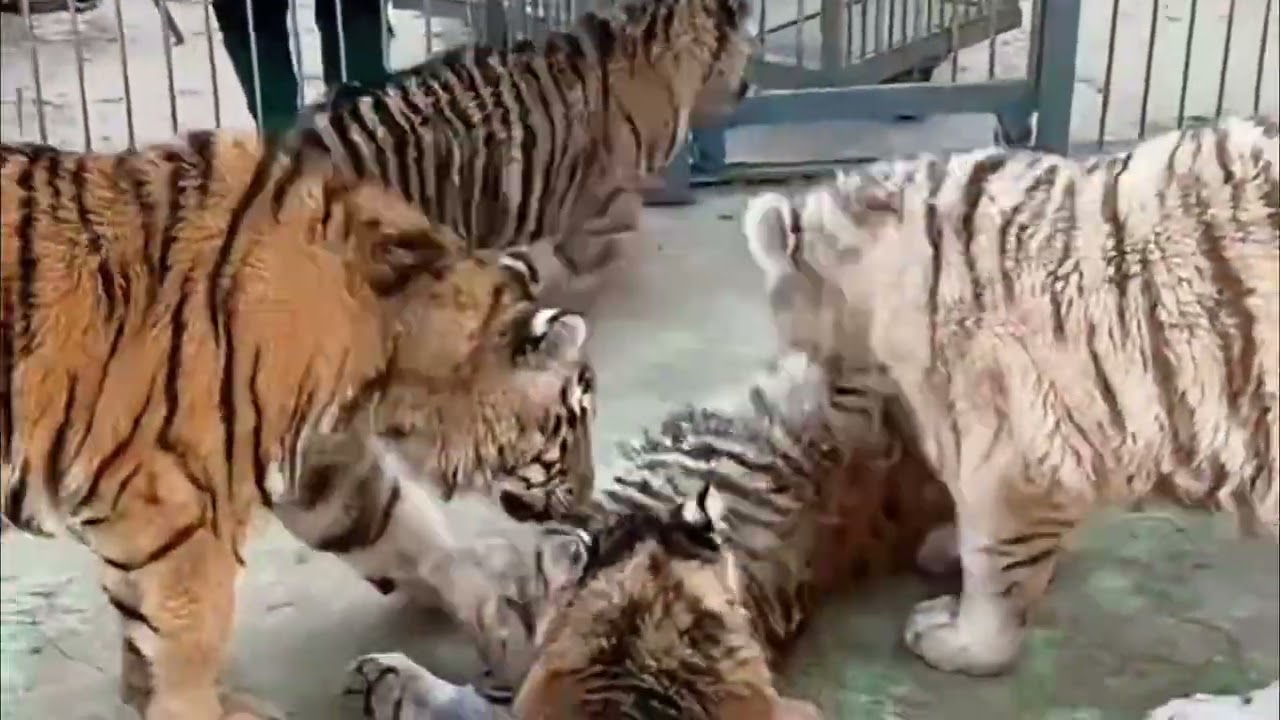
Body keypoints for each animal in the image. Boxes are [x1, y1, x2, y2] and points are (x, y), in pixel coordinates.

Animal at [0, 130, 596, 720]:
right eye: (573, 422)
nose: (588, 500)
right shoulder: (179, 510)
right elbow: (186, 640)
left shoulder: (321, 465)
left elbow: (397, 527)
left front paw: (503, 619)